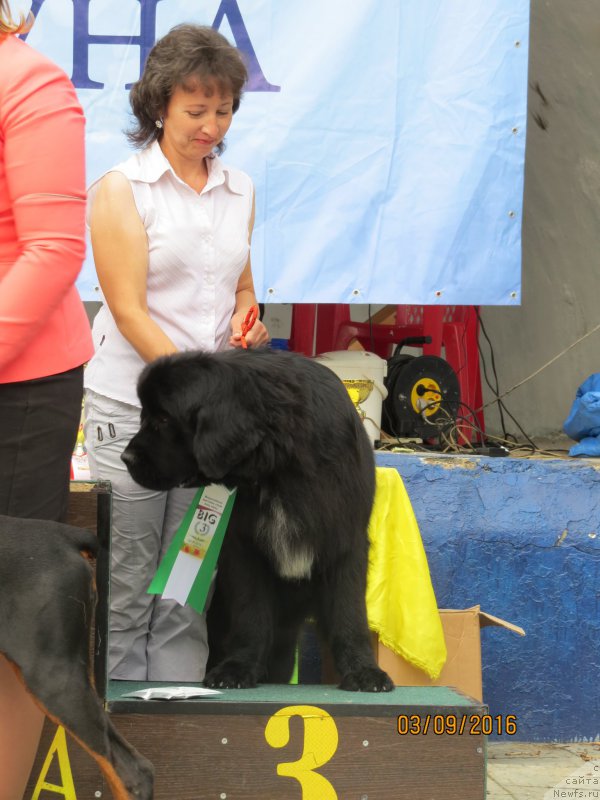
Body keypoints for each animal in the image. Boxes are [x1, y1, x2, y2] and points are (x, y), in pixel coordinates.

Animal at [122, 350, 394, 692]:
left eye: (163, 419)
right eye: (145, 415)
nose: (126, 459)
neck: (279, 465)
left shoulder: (345, 540)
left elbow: (349, 612)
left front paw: (363, 671)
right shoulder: (242, 547)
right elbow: (251, 613)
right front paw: (238, 668)